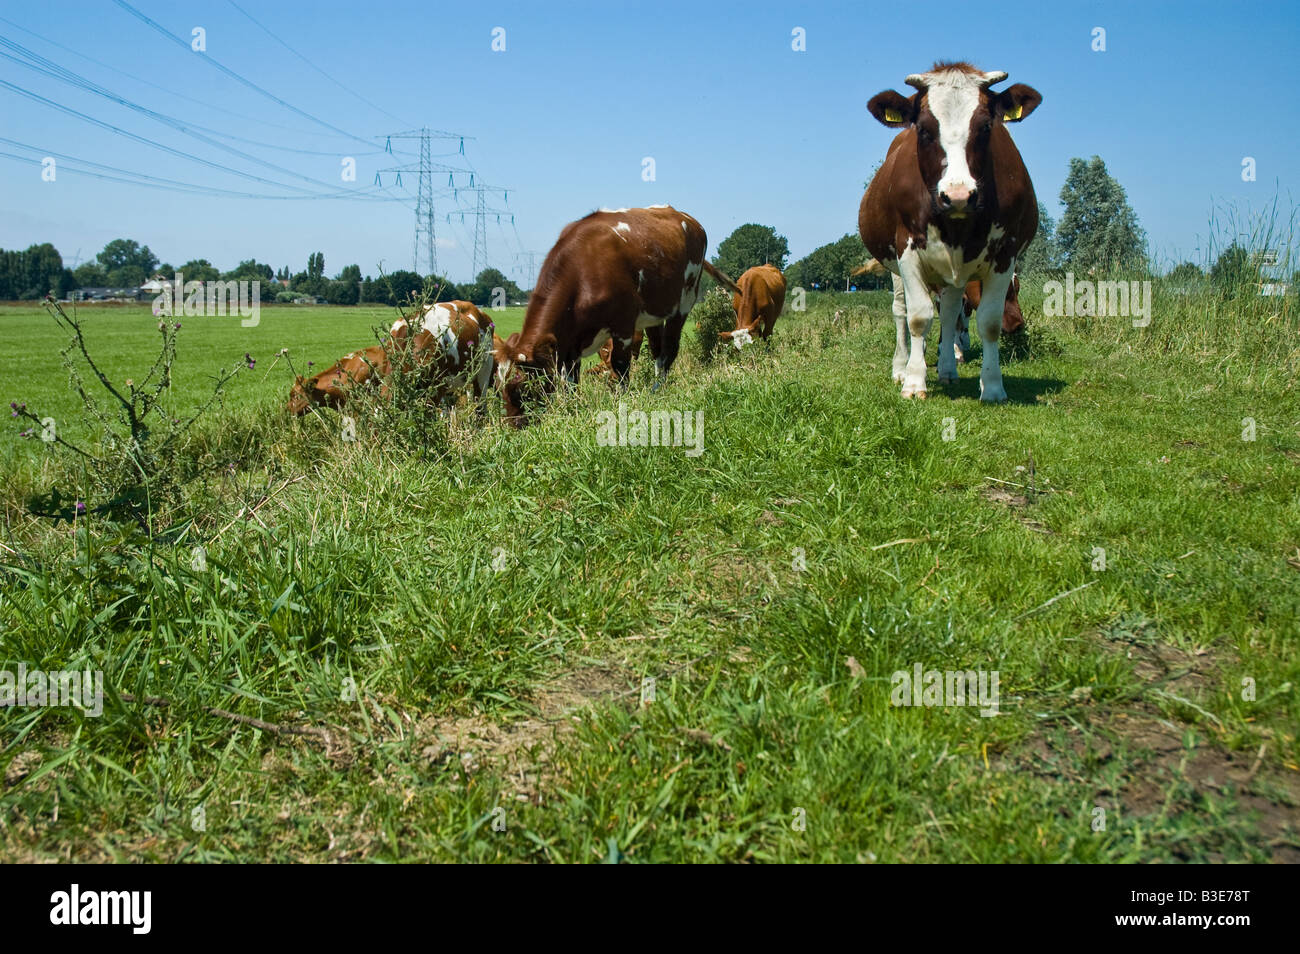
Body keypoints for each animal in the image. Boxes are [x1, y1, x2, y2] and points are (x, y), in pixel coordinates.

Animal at [492, 205, 741, 423]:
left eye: (521, 387)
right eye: (498, 387)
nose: (513, 426)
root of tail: (687, 218)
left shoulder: (623, 324)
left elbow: (620, 365)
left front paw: (621, 402)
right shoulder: (569, 343)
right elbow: (571, 379)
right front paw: (573, 407)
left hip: (684, 302)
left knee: (670, 350)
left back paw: (657, 390)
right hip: (654, 314)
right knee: (658, 351)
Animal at [858, 61, 1041, 400]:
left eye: (986, 127)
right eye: (924, 129)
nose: (958, 195)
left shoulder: (1005, 254)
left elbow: (987, 322)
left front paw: (992, 386)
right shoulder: (906, 249)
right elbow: (918, 317)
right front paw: (914, 382)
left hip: (953, 273)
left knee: (950, 310)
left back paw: (947, 369)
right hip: (895, 268)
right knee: (901, 311)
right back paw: (902, 367)